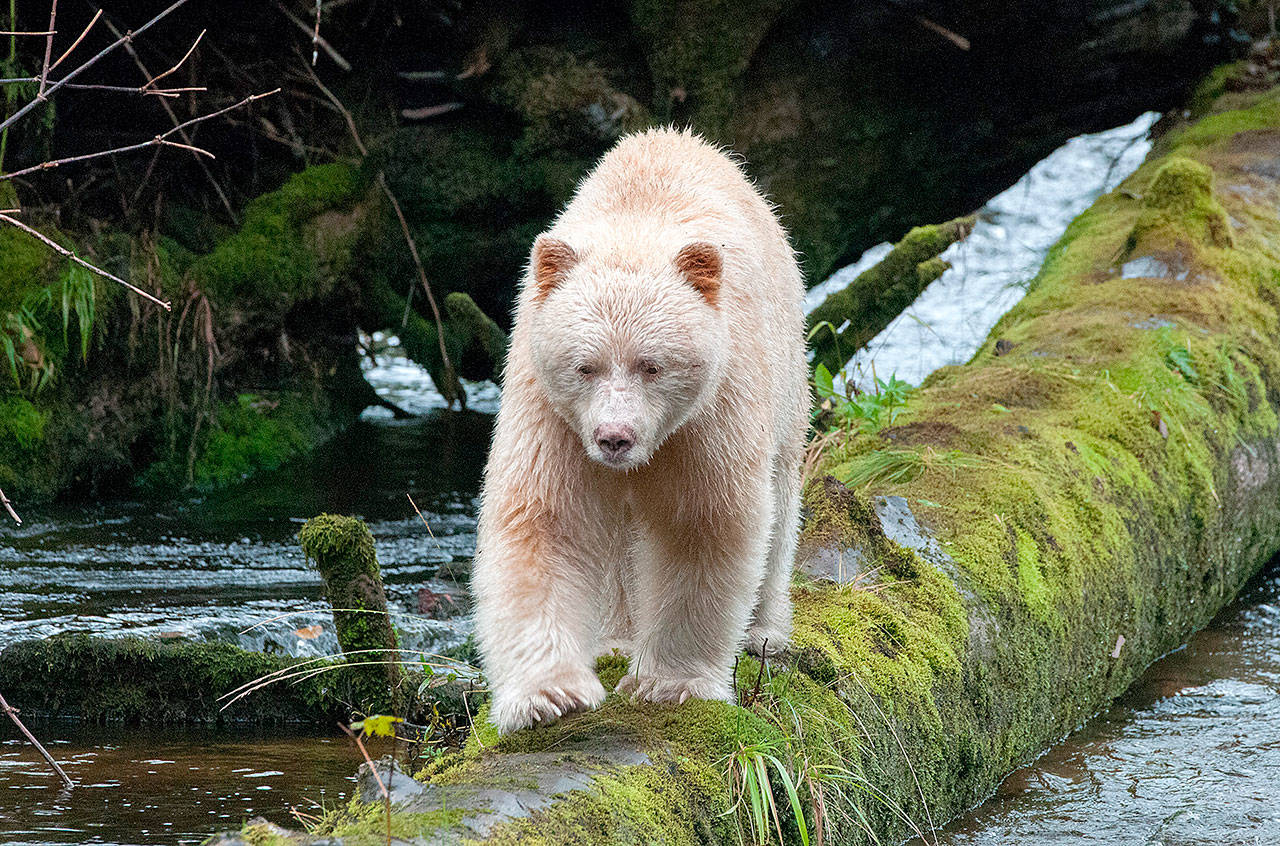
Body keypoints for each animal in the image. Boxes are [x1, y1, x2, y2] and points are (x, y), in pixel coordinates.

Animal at [471, 127, 810, 734]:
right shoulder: (552, 413)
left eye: (651, 365)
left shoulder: (710, 413)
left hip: (787, 361)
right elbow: (548, 521)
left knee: (780, 491)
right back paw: (614, 638)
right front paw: (549, 696)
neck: (634, 230)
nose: (615, 437)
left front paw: (668, 684)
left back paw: (764, 632)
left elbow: (702, 523)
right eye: (586, 366)